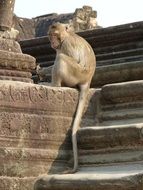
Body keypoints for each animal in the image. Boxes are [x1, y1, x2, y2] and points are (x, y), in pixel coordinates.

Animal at [47, 22, 95, 174]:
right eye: (50, 35)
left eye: (55, 35)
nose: (52, 42)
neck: (67, 35)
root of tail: (87, 80)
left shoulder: (66, 45)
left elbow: (68, 57)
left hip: (76, 74)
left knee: (61, 58)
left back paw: (55, 85)